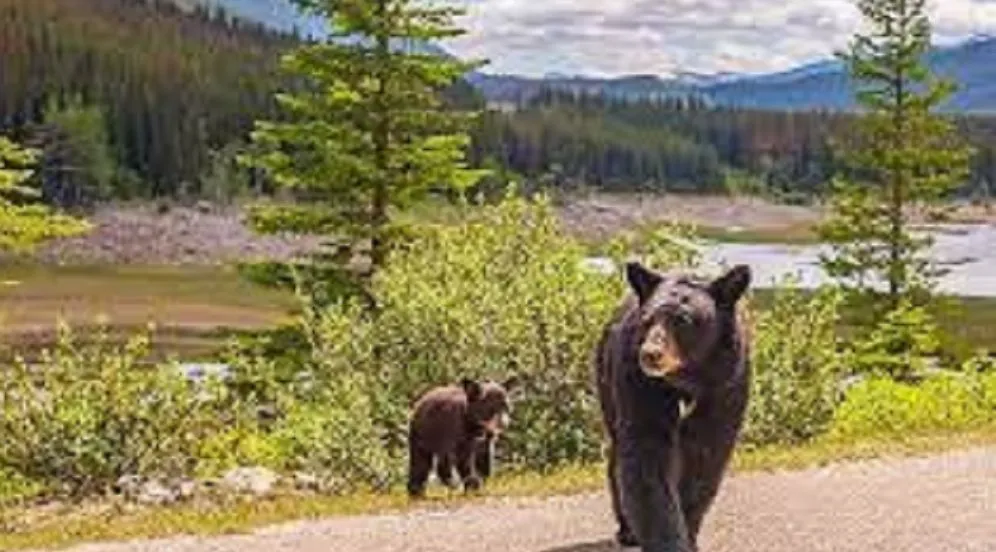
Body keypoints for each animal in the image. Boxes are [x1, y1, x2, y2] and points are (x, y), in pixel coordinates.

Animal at [596, 260, 752, 548]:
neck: (687, 378)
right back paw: (627, 531)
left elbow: (706, 452)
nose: (650, 354)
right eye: (648, 319)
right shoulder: (640, 382)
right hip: (606, 379)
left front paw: (689, 532)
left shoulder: (726, 384)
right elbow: (647, 455)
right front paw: (669, 540)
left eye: (684, 321)